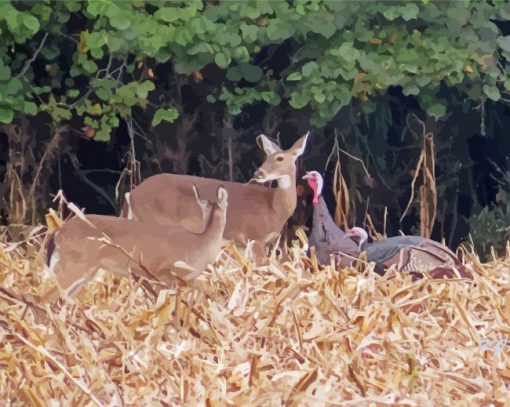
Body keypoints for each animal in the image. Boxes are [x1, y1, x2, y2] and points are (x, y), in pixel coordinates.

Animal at [40, 183, 228, 304]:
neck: (201, 243)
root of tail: (57, 233)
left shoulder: (187, 279)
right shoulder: (162, 272)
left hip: (84, 272)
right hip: (72, 267)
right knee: (44, 299)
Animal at [121, 134, 308, 262]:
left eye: (279, 158)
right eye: (266, 157)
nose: (258, 173)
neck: (274, 208)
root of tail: (131, 194)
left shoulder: (241, 244)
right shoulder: (255, 237)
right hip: (154, 221)